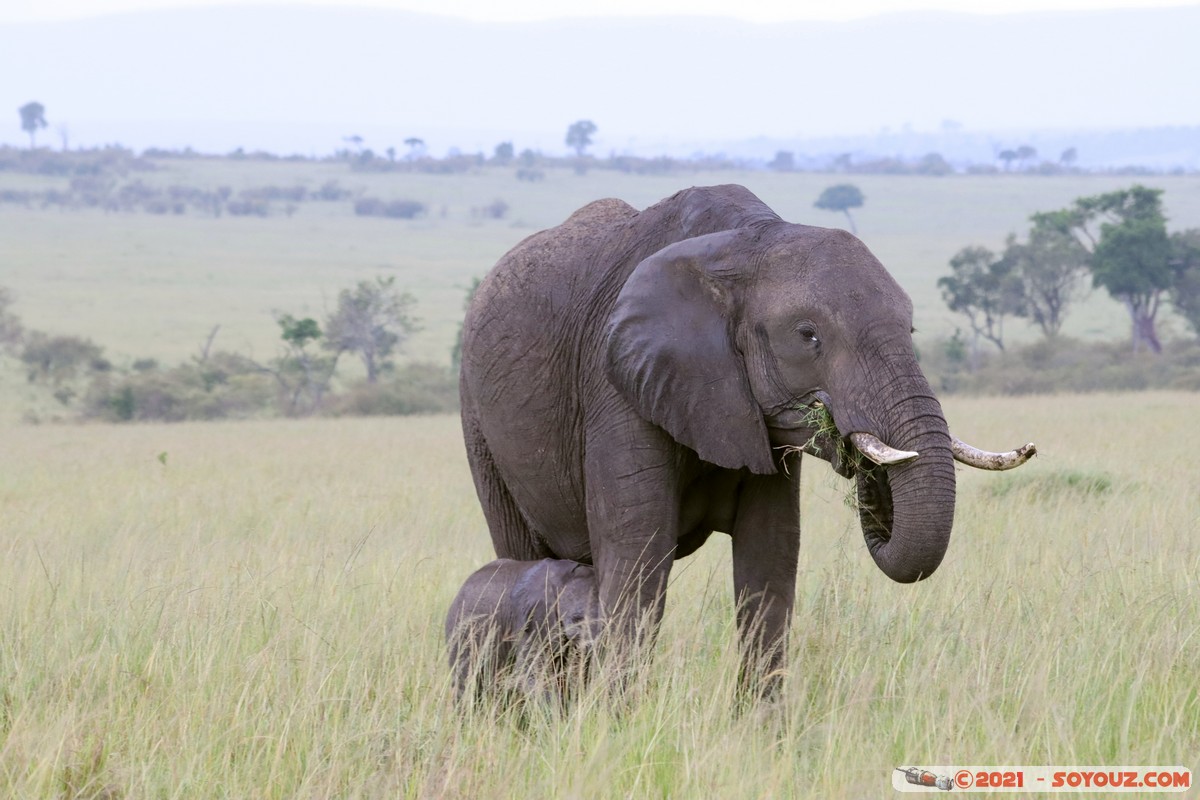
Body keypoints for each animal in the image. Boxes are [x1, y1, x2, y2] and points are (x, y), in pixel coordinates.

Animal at [458, 184, 1032, 695]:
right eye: (808, 335)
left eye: (910, 331)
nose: (854, 452)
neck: (748, 241)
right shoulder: (617, 385)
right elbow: (638, 557)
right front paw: (616, 723)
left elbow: (770, 557)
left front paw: (766, 733)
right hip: (478, 423)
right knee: (525, 555)